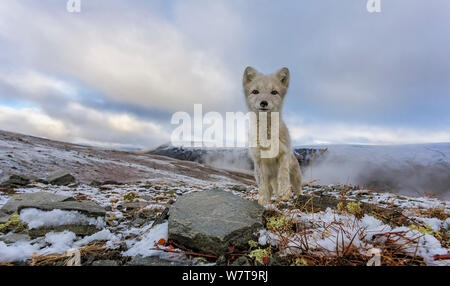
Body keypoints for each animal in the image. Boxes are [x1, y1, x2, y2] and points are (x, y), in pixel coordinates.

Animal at [243, 66, 302, 206]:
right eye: (255, 91)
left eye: (274, 92)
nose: (264, 103)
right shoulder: (258, 160)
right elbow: (263, 184)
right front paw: (264, 200)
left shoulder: (283, 154)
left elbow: (283, 175)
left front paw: (285, 193)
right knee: (271, 188)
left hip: (296, 175)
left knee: (297, 187)